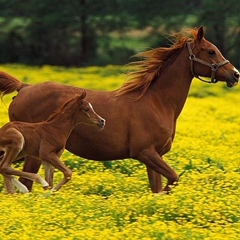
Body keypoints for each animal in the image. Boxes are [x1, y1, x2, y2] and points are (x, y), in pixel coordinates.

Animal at [0, 26, 238, 193]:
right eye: (211, 51)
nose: (235, 75)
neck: (157, 103)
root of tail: (24, 87)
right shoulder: (145, 152)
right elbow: (173, 179)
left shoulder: (154, 156)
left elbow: (158, 188)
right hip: (33, 154)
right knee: (23, 181)